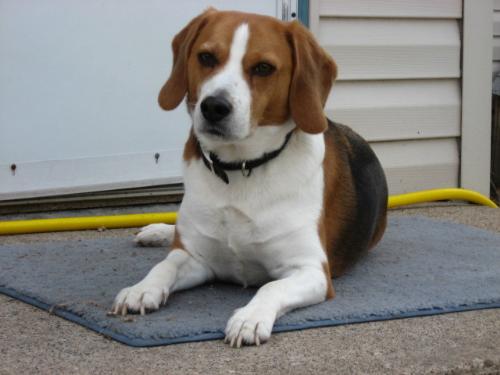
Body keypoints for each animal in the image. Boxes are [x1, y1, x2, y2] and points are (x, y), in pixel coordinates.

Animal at [112, 8, 386, 348]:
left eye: (263, 68)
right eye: (206, 57)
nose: (214, 106)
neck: (240, 167)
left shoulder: (312, 270)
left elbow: (270, 286)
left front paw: (249, 318)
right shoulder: (195, 257)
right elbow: (164, 266)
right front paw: (141, 288)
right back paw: (158, 231)